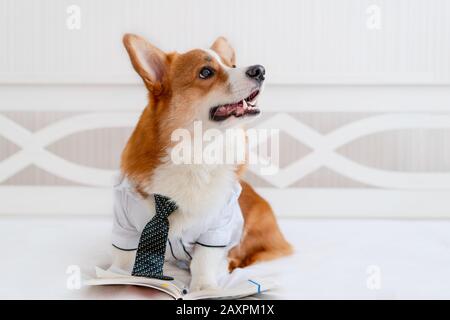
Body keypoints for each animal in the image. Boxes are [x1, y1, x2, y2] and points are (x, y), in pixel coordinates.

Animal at [112, 33, 292, 292]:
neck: (195, 151)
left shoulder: (217, 227)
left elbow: (204, 260)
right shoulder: (124, 224)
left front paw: (204, 288)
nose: (260, 70)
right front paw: (119, 278)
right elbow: (124, 260)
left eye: (233, 65)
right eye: (206, 72)